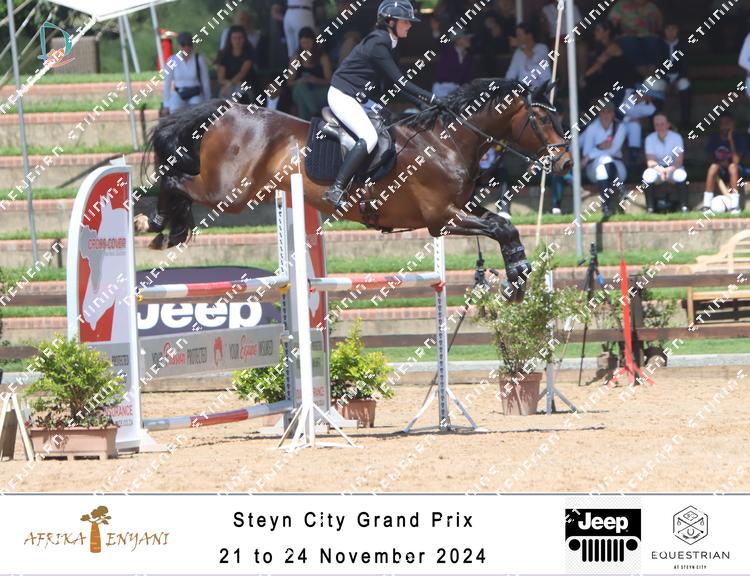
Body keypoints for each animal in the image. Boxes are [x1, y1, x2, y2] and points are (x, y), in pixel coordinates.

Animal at [136, 78, 572, 301]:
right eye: (542, 119)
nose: (566, 163)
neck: (448, 140)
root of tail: (228, 111)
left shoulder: (459, 211)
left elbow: (505, 227)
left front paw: (517, 275)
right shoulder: (442, 219)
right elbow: (500, 227)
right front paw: (515, 281)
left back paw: (162, 226)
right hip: (229, 193)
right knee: (176, 182)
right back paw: (158, 225)